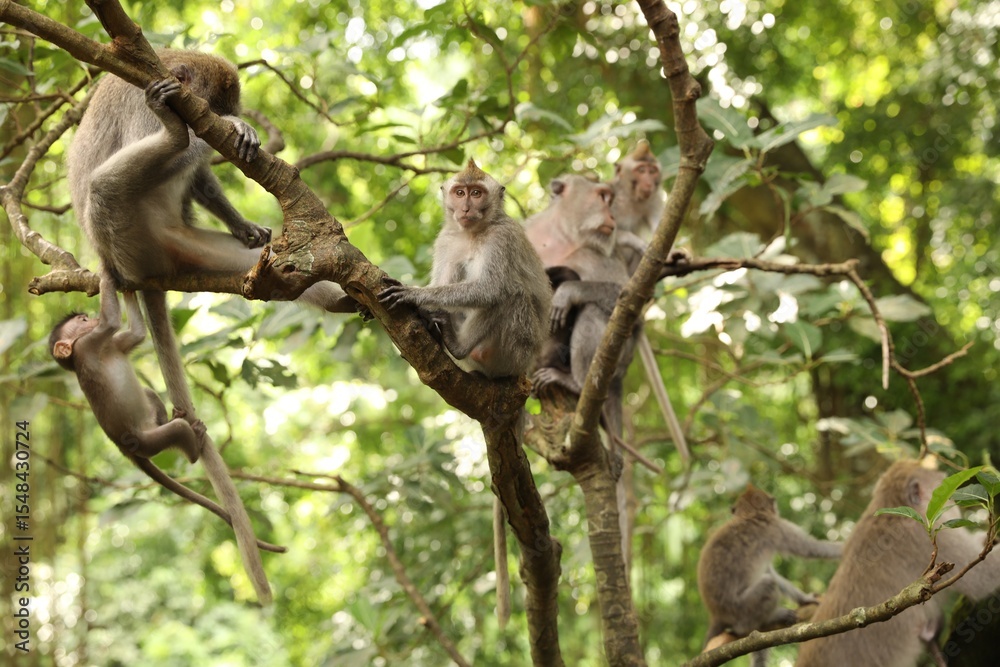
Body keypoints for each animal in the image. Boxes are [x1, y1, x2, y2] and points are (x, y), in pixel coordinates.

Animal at [49, 273, 285, 554]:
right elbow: (112, 321)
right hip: (147, 441)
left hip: (149, 424)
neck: (76, 357)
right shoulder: (90, 342)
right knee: (178, 433)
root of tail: (125, 449)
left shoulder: (110, 343)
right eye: (83, 321)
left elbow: (136, 334)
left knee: (149, 394)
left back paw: (172, 416)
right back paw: (194, 444)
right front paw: (107, 277)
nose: (91, 318)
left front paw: (128, 290)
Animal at [379, 158, 551, 379]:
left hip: (517, 353)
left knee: (511, 293)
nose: (466, 208)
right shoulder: (446, 239)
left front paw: (413, 294)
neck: (472, 233)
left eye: (476, 193)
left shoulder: (503, 236)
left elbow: (491, 289)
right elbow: (443, 283)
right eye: (460, 193)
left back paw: (458, 346)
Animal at [697, 484, 843, 667]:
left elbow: (773, 574)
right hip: (740, 608)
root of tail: (716, 615)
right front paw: (844, 546)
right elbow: (811, 549)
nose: (776, 508)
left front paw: (804, 599)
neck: (749, 514)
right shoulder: (776, 528)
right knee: (767, 584)